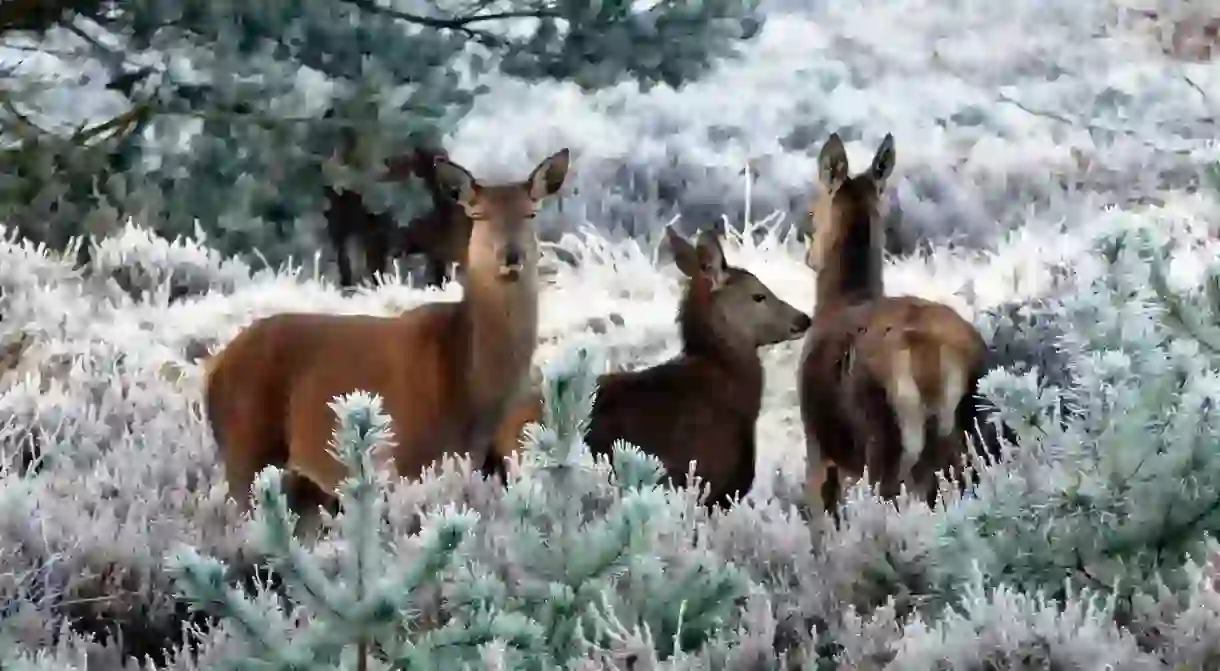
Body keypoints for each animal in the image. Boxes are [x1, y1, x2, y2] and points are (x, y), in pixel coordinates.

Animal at [204, 148, 570, 514]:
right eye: (479, 215)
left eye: (531, 212)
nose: (511, 255)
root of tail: (212, 369)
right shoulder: (408, 454)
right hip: (246, 448)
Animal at [800, 131, 990, 519]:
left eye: (813, 210)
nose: (809, 255)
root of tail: (930, 357)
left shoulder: (818, 445)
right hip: (966, 442)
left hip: (882, 443)